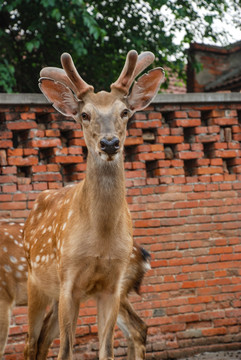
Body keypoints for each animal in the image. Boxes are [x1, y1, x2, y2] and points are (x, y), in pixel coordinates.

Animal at [23, 50, 164, 360]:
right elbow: (65, 352)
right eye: (84, 115)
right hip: (35, 283)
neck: (101, 239)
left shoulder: (111, 286)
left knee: (43, 341)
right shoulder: (68, 281)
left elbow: (106, 350)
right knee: (30, 343)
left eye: (125, 112)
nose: (109, 143)